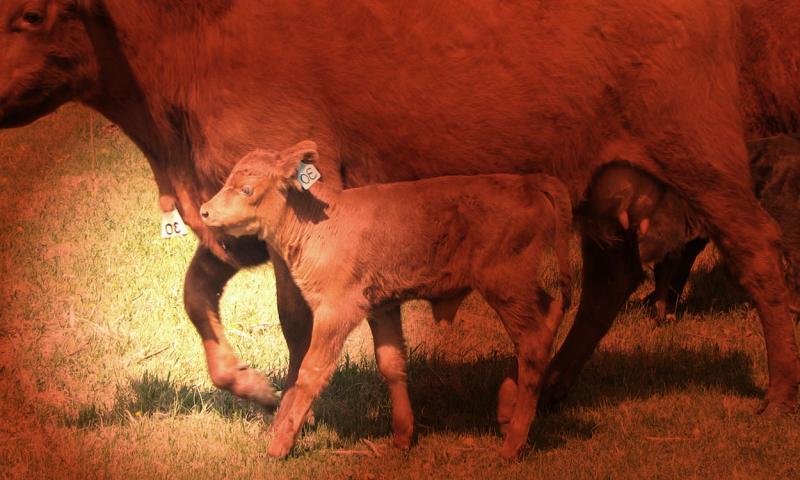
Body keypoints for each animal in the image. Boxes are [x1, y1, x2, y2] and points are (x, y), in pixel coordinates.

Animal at [199, 141, 573, 458]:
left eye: (247, 189)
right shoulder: (382, 307)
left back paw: (513, 443)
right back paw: (507, 411)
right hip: (518, 288)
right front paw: (403, 436)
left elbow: (310, 372)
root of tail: (526, 182)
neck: (321, 224)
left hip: (506, 285)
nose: (204, 211)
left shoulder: (335, 311)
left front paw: (279, 445)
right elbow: (391, 363)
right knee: (548, 319)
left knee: (533, 341)